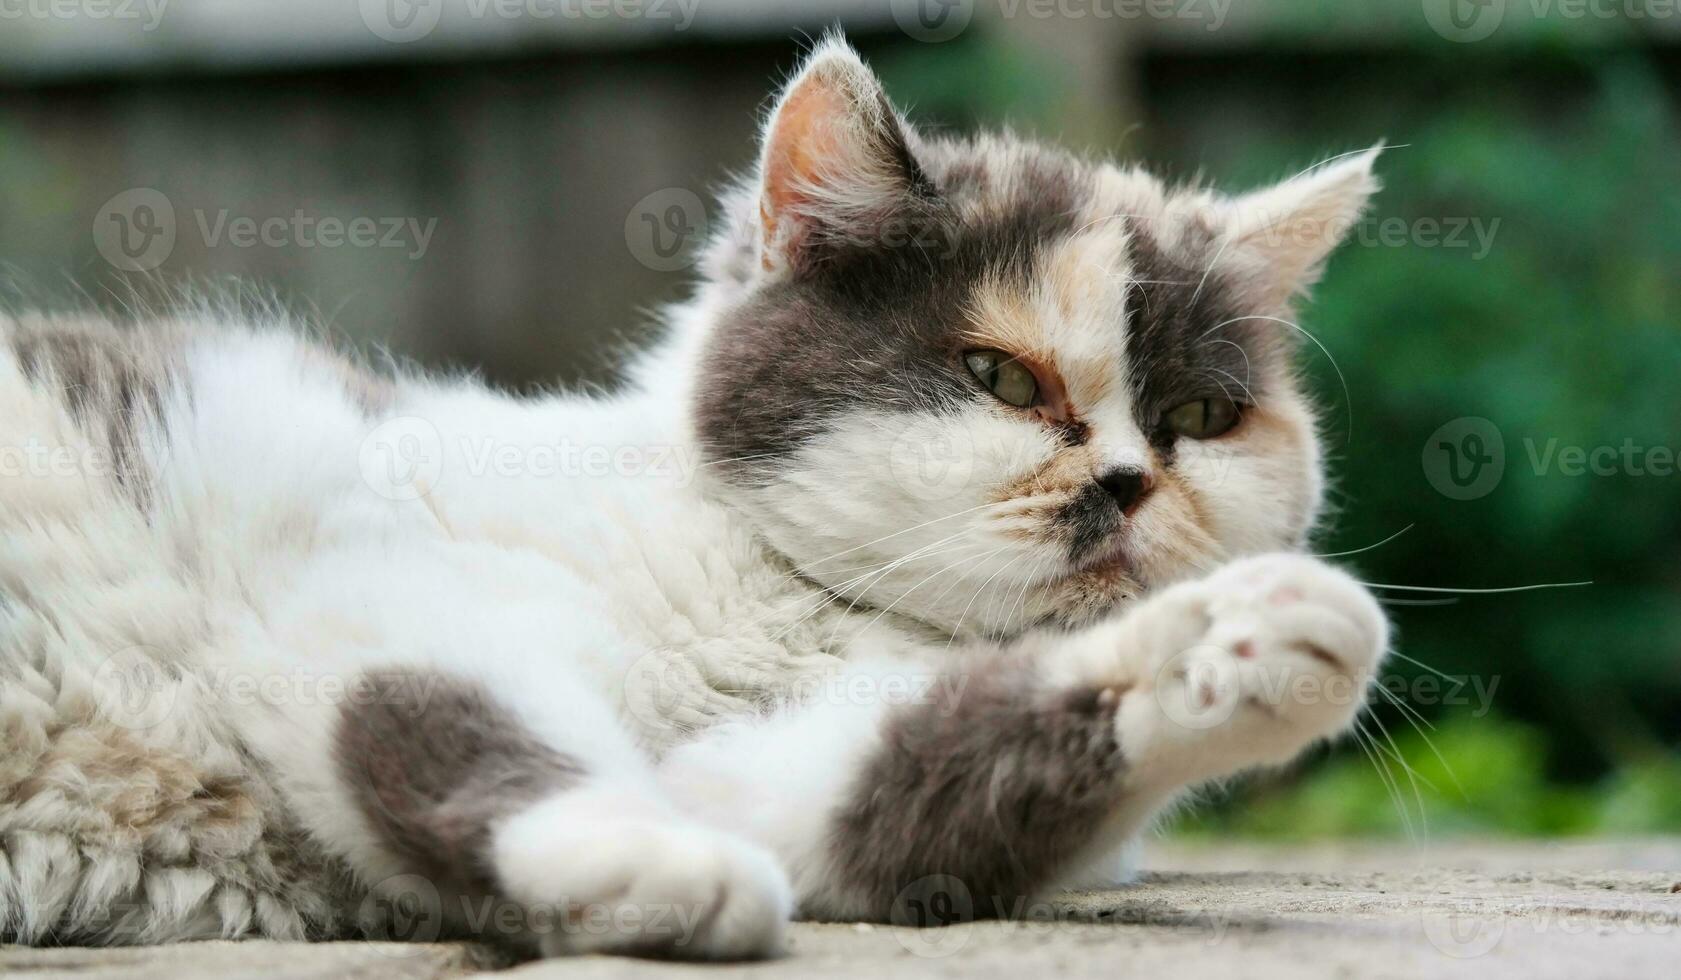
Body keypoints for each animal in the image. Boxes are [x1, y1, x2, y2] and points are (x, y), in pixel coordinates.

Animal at [0, 36, 1385, 961]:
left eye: (1199, 416)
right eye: (1000, 377)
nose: (1130, 478)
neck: (775, 590)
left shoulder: (778, 763)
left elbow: (895, 783)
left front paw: (1228, 643)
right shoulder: (366, 576)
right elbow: (463, 715)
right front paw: (642, 853)